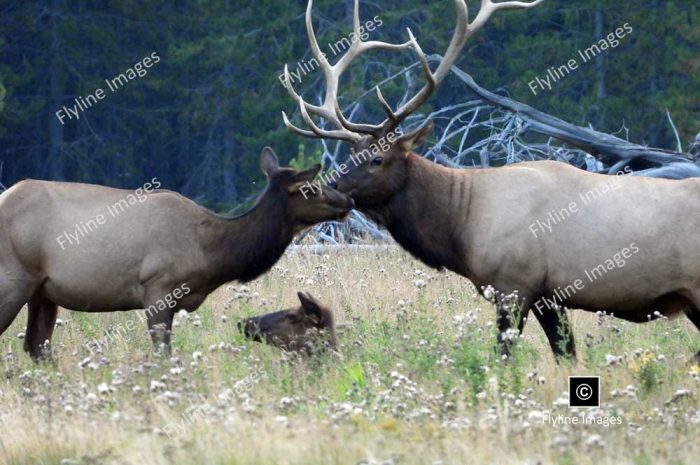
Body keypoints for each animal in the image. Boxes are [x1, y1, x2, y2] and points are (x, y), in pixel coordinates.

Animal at [0, 148, 352, 358]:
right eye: (310, 188)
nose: (346, 198)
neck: (211, 252)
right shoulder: (157, 289)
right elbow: (164, 355)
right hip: (14, 281)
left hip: (43, 291)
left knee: (36, 347)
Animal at [284, 0, 700, 362]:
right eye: (348, 156)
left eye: (377, 158)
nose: (329, 190)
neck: (462, 224)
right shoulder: (549, 295)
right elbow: (565, 355)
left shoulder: (514, 285)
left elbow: (503, 357)